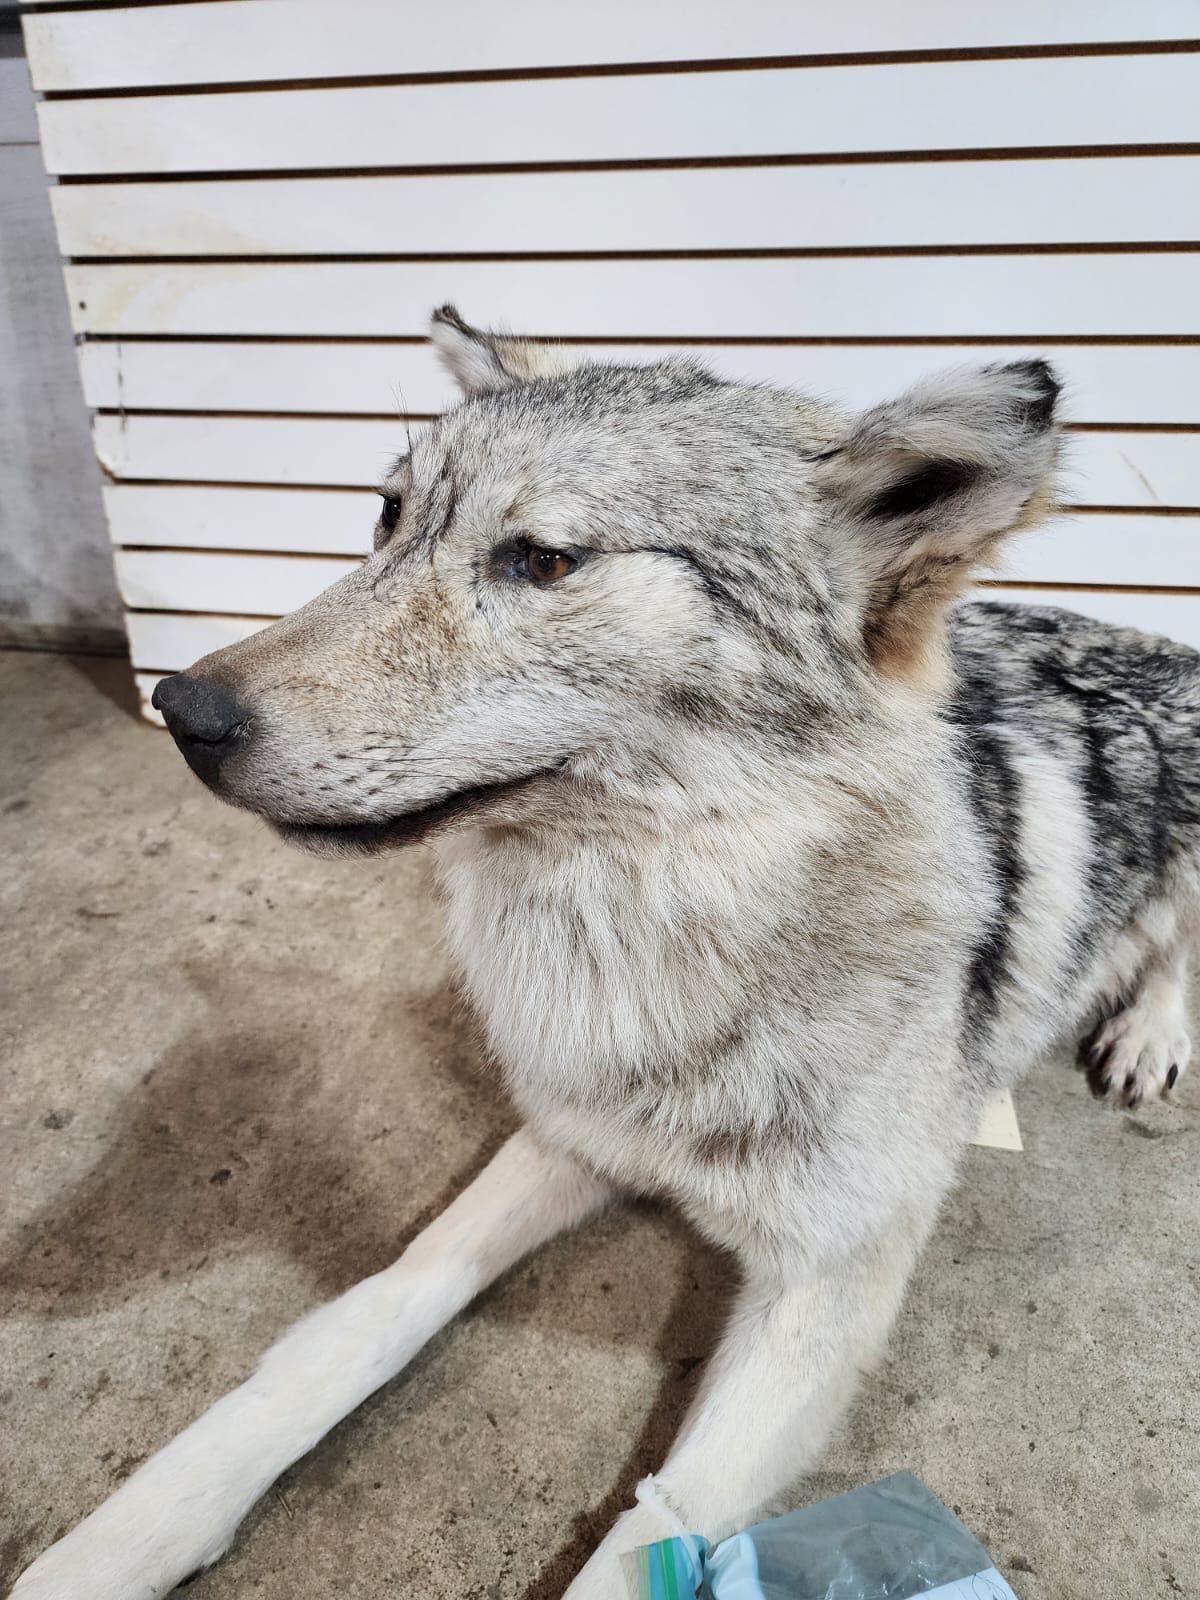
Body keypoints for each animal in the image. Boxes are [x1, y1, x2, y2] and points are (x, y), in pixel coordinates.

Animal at [14, 308, 1199, 1599]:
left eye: (541, 561)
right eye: (387, 517)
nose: (183, 709)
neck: (639, 941)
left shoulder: (825, 1290)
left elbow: (651, 1537)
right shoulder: (566, 1137)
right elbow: (361, 1317)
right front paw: (135, 1530)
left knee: (1175, 945)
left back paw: (1148, 1034)